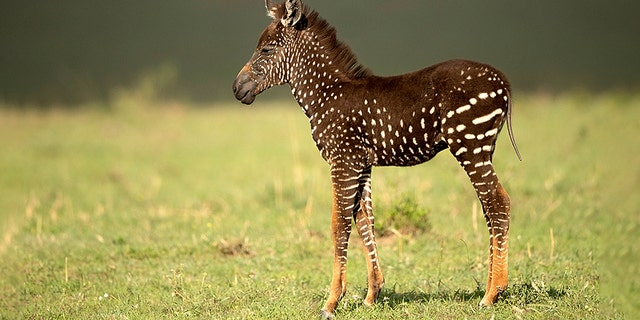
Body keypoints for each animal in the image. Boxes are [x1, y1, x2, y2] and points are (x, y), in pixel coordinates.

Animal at [232, 0, 524, 318]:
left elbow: (339, 225)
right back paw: (491, 288)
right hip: (482, 149)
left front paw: (332, 301)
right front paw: (372, 294)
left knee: (499, 202)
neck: (326, 94)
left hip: (470, 145)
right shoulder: (361, 164)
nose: (236, 89)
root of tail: (503, 82)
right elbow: (365, 222)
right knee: (489, 208)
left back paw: (492, 294)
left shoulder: (343, 161)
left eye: (266, 50)